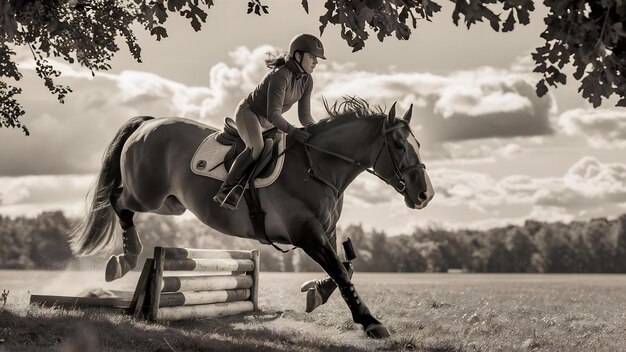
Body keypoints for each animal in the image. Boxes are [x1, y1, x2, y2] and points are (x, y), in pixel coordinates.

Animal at [67, 97, 428, 338]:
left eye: (418, 144)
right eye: (399, 145)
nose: (425, 194)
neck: (318, 167)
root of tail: (148, 122)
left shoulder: (326, 230)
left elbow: (344, 268)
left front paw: (316, 292)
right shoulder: (306, 233)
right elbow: (340, 269)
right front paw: (370, 322)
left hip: (171, 203)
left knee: (125, 203)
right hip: (147, 193)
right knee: (117, 200)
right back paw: (126, 258)